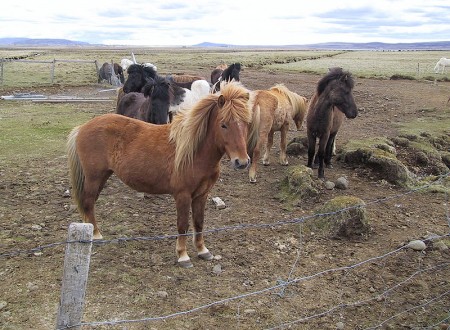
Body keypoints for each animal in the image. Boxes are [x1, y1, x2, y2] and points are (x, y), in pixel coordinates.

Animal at [66, 82, 253, 268]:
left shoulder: (202, 194)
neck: (194, 151)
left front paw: (202, 251)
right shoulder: (183, 195)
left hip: (101, 177)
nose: (242, 162)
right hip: (94, 177)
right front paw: (183, 256)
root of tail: (82, 128)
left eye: (247, 123)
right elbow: (183, 225)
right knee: (88, 202)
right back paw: (96, 236)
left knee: (89, 203)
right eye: (224, 124)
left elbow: (199, 222)